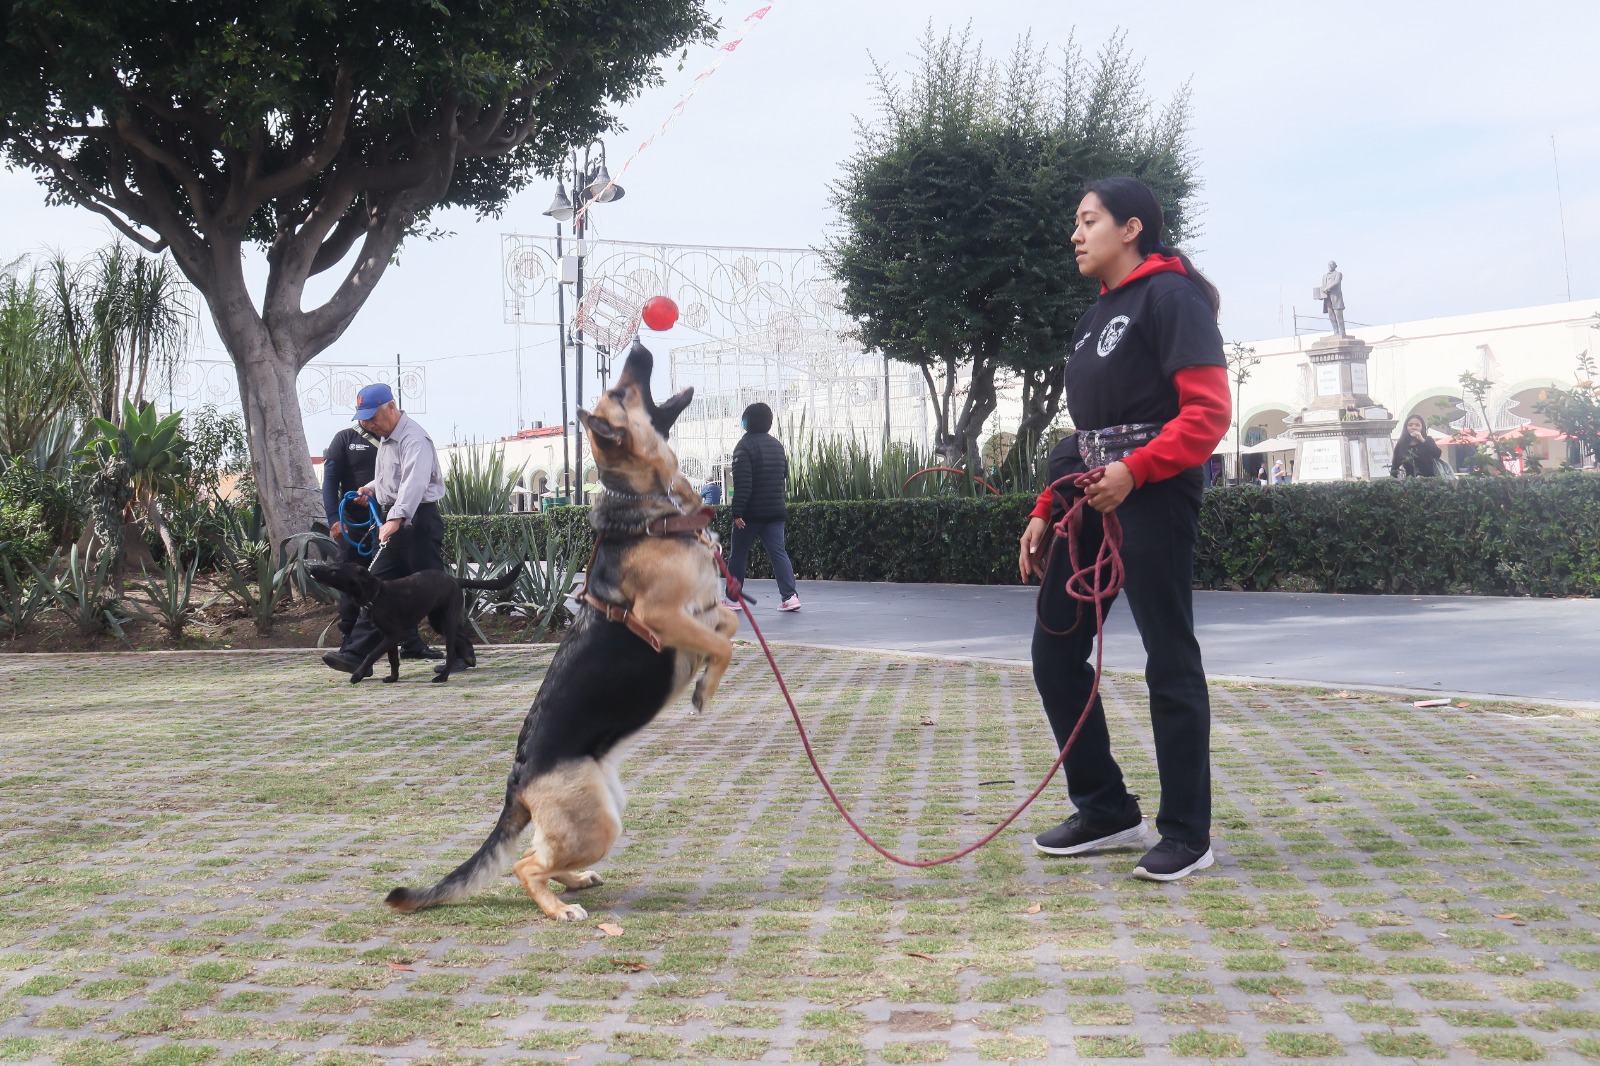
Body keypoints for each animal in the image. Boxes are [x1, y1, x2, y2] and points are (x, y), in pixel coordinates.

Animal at [384, 342, 739, 921]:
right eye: (621, 390)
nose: (640, 344)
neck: (653, 509)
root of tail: (518, 782)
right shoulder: (663, 617)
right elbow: (724, 641)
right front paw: (705, 690)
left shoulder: (703, 609)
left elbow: (727, 625)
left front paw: (707, 676)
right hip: (599, 821)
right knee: (527, 866)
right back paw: (557, 907)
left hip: (604, 807)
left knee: (541, 854)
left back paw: (574, 881)